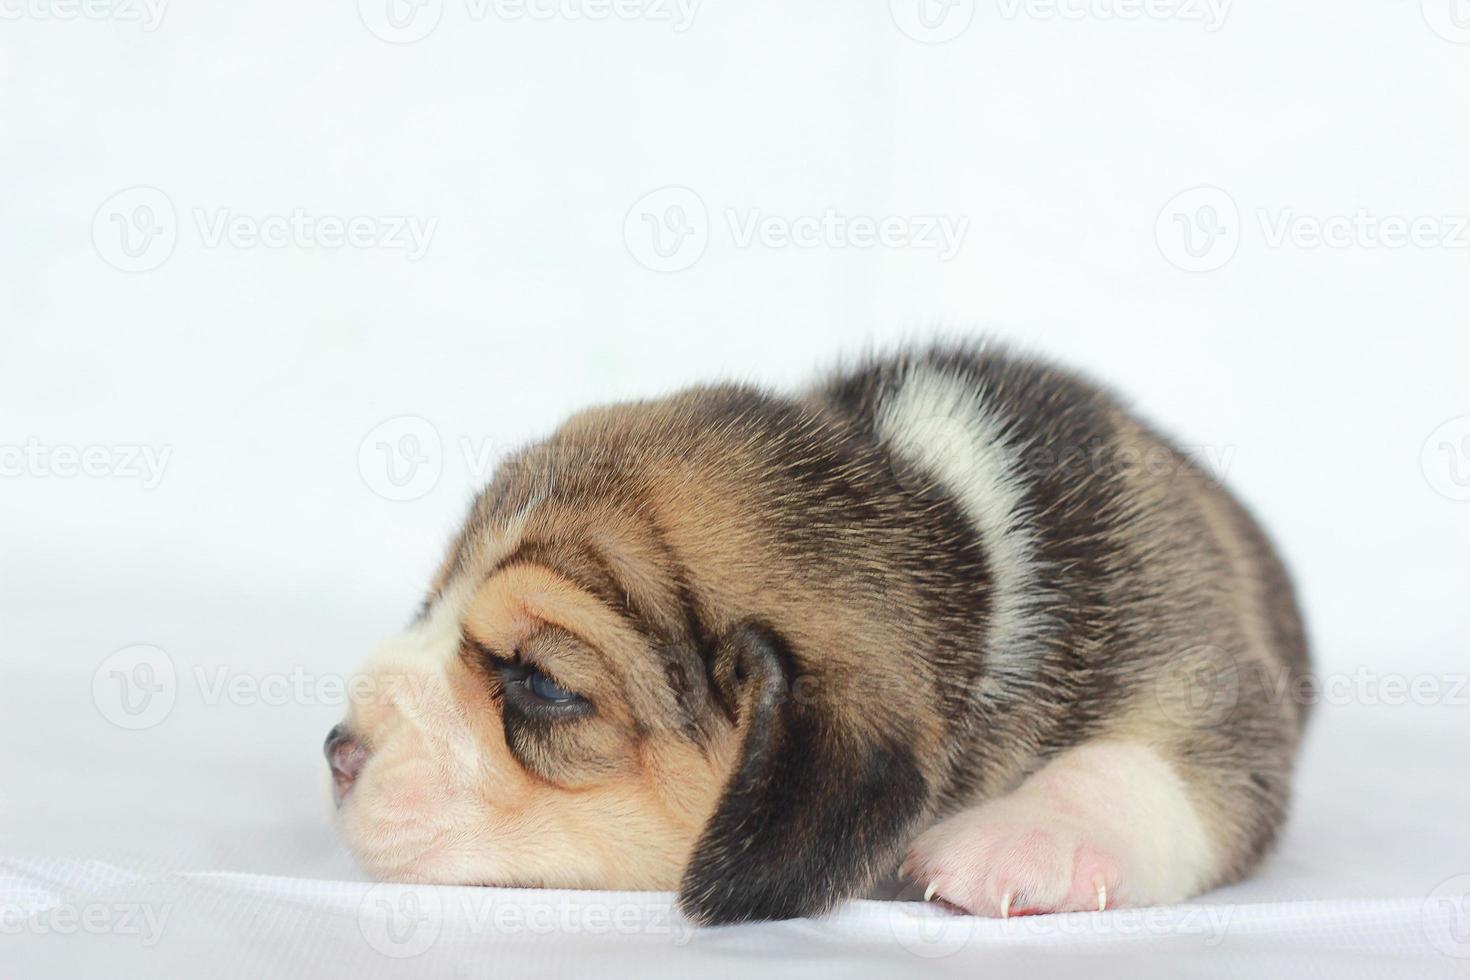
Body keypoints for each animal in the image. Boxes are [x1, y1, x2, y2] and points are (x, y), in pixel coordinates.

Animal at [327, 345, 1317, 928]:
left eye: (543, 685)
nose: (337, 752)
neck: (952, 529)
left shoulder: (1208, 669)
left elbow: (1147, 767)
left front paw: (1031, 837)